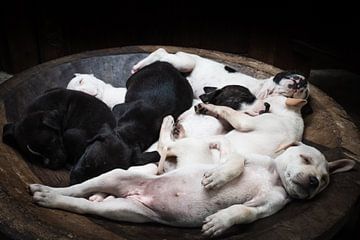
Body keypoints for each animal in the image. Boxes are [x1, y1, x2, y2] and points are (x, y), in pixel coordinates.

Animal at [132, 47, 310, 100]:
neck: (262, 90)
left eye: (305, 94)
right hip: (186, 62)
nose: (303, 82)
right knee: (161, 52)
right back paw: (139, 66)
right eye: (292, 73)